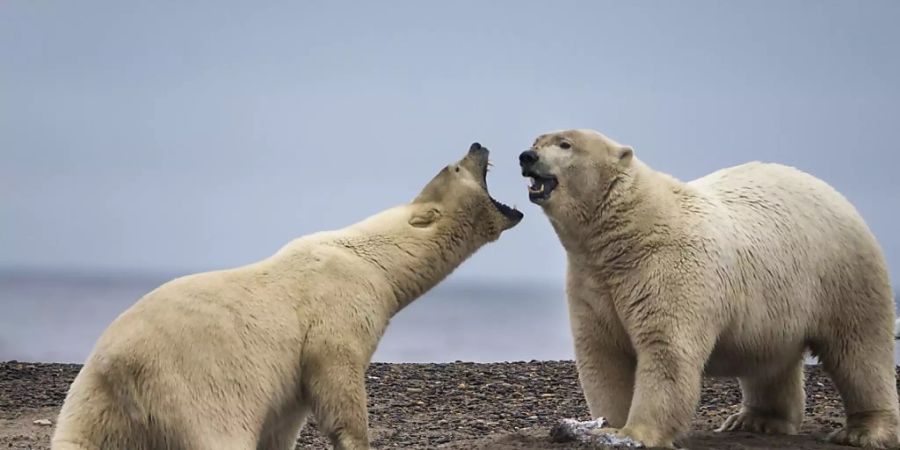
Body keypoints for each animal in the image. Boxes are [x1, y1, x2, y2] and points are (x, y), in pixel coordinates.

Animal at [51, 143, 528, 450]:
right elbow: (337, 376)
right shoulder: (339, 305)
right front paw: (357, 439)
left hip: (94, 405)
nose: (478, 143)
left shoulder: (286, 388)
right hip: (192, 390)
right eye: (455, 167)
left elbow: (282, 423)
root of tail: (117, 365)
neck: (369, 256)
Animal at [520, 128, 900, 448]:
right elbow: (602, 351)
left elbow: (666, 351)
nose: (527, 156)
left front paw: (635, 433)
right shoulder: (592, 279)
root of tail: (835, 194)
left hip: (842, 275)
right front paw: (607, 425)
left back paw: (865, 430)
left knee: (859, 349)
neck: (629, 230)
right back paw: (756, 421)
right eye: (538, 139)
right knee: (771, 361)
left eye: (565, 144)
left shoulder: (668, 269)